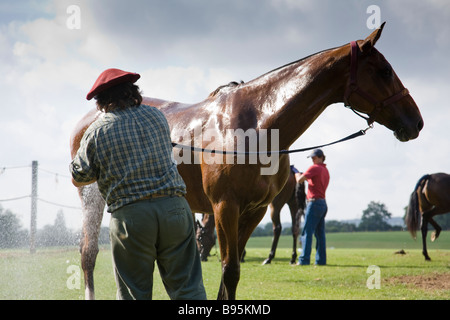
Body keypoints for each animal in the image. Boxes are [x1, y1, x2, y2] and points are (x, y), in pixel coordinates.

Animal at [69, 23, 422, 300]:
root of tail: (91, 116)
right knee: (89, 255)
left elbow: (233, 271)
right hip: (93, 198)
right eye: (384, 71)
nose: (416, 122)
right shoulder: (225, 206)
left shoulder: (253, 211)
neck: (257, 125)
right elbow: (229, 269)